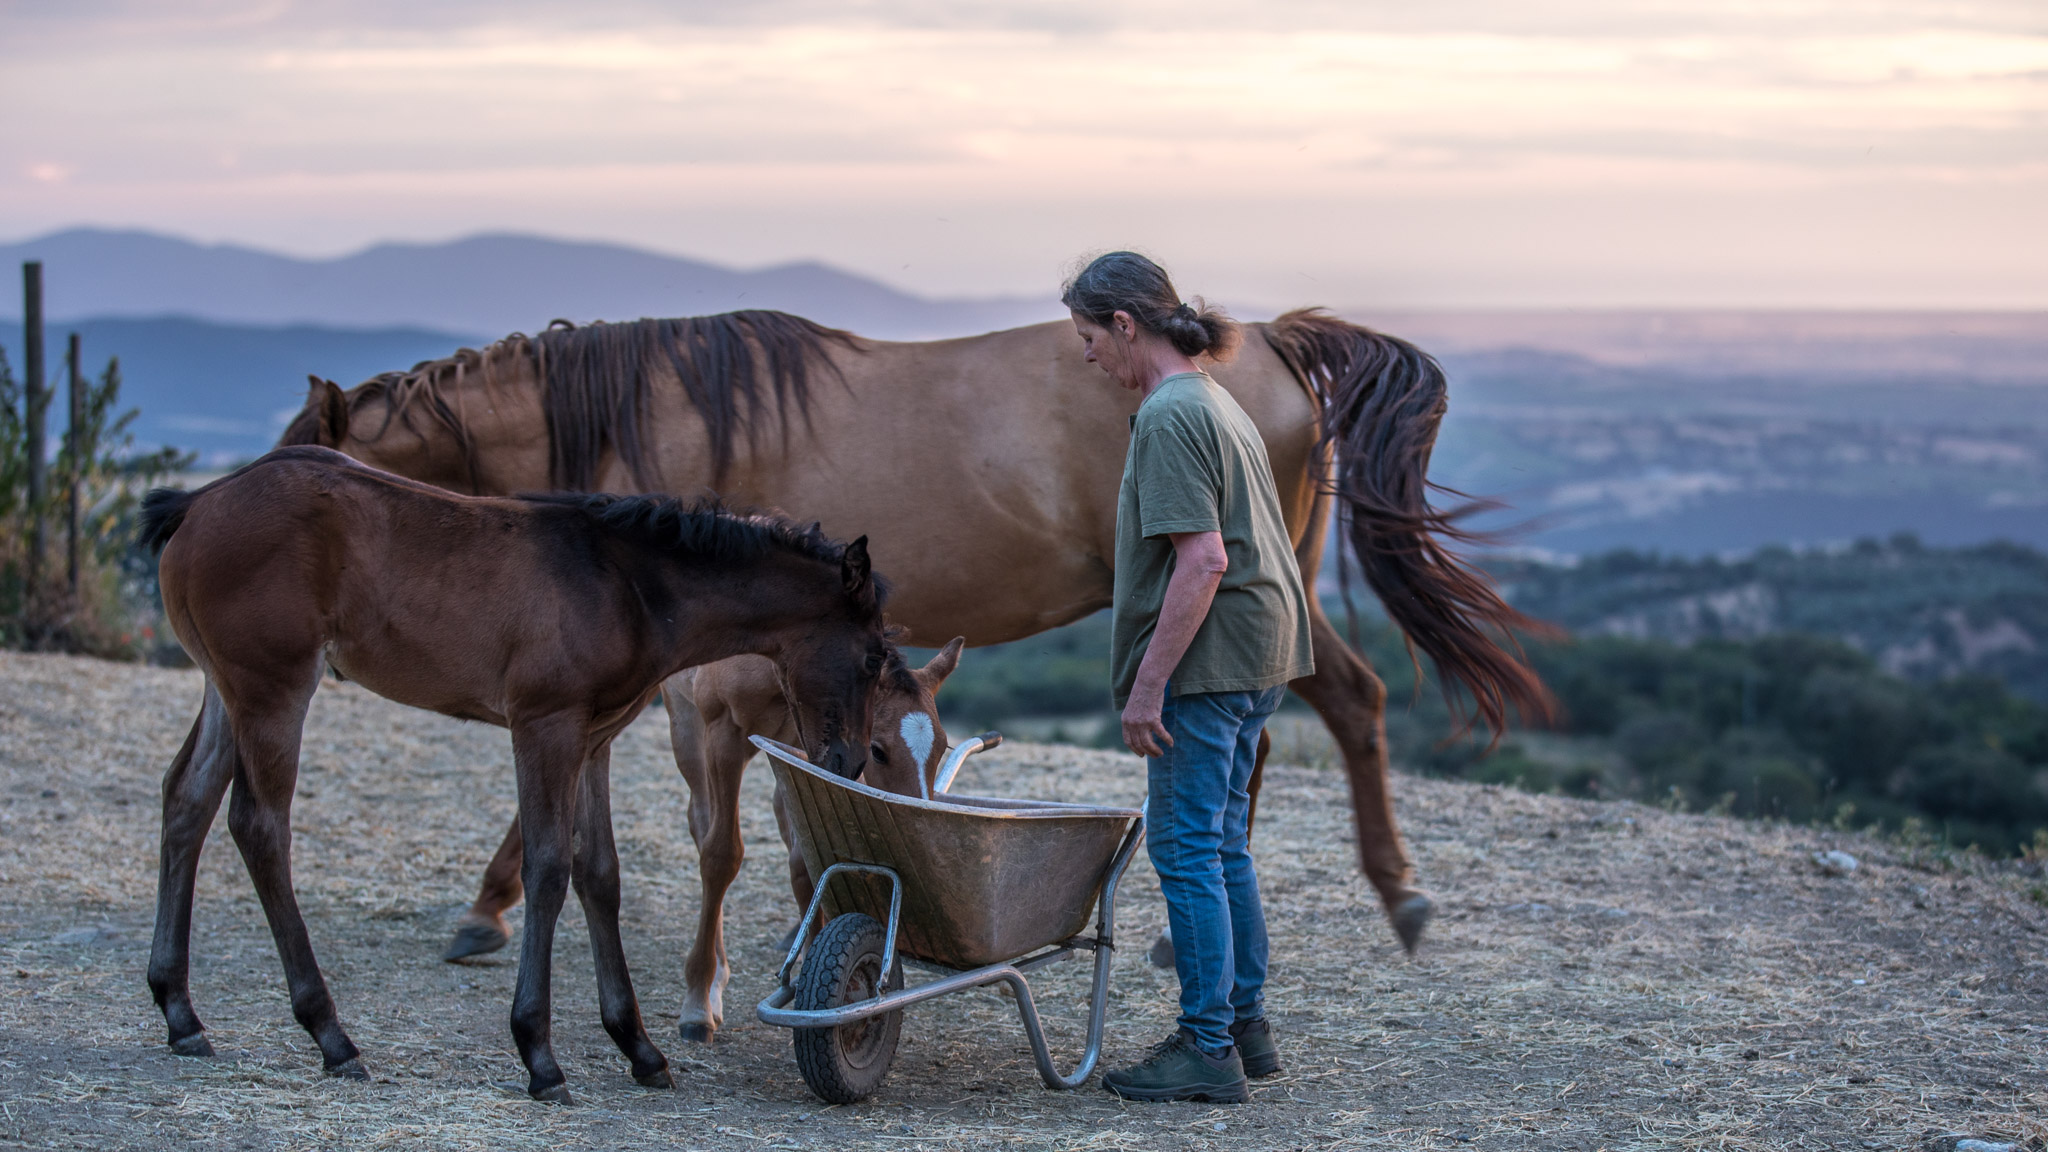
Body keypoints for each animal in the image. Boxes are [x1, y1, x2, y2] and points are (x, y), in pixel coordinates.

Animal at [137, 445, 892, 1103]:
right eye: (873, 658)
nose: (849, 761)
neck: (628, 584)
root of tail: (197, 503)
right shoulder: (543, 725)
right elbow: (549, 868)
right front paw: (539, 1055)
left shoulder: (595, 739)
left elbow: (600, 875)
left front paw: (639, 1048)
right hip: (274, 688)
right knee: (260, 826)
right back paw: (331, 1035)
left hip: (226, 690)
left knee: (186, 799)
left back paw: (181, 1014)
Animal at [283, 307, 1556, 954]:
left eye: (310, 474)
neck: (634, 418)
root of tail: (1270, 343)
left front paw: (485, 906)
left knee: (1335, 704)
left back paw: (1382, 898)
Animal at [449, 640, 966, 1043]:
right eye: (878, 749)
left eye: (941, 746)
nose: (917, 819)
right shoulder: (724, 729)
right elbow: (721, 854)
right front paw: (698, 1002)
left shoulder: (809, 744)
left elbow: (806, 855)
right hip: (684, 720)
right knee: (702, 826)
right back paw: (711, 982)